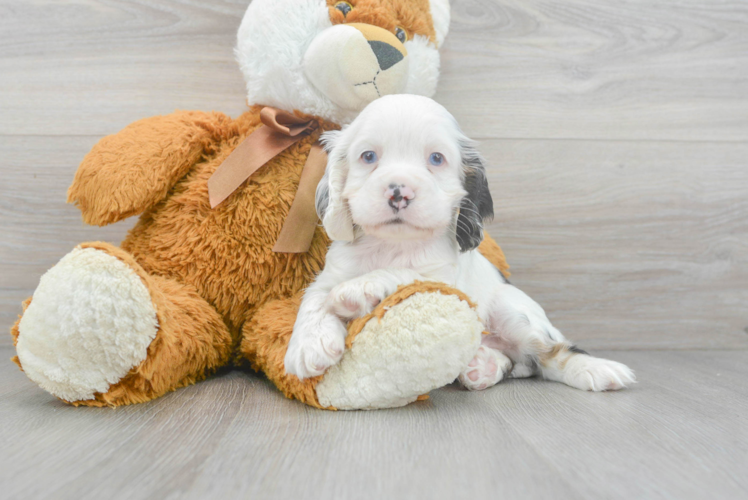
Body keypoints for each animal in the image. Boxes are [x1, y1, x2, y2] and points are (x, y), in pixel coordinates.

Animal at [284, 94, 636, 390]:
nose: (399, 192)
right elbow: (314, 299)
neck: (393, 244)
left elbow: (404, 274)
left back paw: (596, 370)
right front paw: (308, 345)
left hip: (513, 310)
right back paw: (484, 366)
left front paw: (361, 288)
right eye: (368, 156)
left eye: (436, 158)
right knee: (519, 363)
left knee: (549, 355)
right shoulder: (331, 273)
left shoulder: (442, 278)